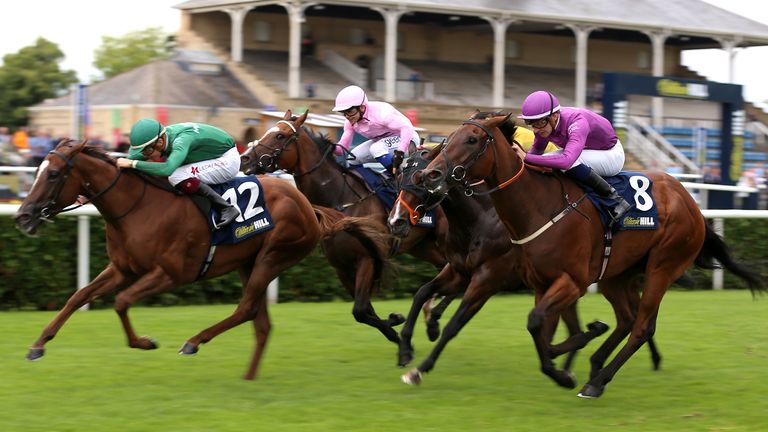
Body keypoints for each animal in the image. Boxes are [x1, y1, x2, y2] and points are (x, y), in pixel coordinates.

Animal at [16, 140, 390, 380]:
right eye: (37, 170)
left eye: (52, 175)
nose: (22, 216)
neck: (138, 206)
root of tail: (307, 205)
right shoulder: (123, 269)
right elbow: (78, 296)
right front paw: (37, 346)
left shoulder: (169, 273)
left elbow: (121, 302)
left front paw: (144, 342)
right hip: (249, 263)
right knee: (260, 322)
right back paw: (248, 377)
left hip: (274, 256)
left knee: (246, 309)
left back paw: (194, 342)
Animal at [240, 109, 450, 346]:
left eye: (279, 136)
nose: (245, 158)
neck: (340, 200)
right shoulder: (341, 266)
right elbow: (364, 310)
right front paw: (394, 325)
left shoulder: (367, 259)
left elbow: (359, 309)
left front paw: (397, 327)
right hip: (424, 247)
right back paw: (431, 317)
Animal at [420, 115, 768, 398]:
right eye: (447, 138)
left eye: (471, 140)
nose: (430, 174)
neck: (537, 206)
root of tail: (692, 204)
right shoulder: (541, 283)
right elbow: (542, 331)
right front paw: (564, 366)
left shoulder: (570, 281)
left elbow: (538, 324)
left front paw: (569, 362)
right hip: (617, 273)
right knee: (628, 318)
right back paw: (597, 363)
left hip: (663, 266)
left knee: (642, 326)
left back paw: (598, 381)